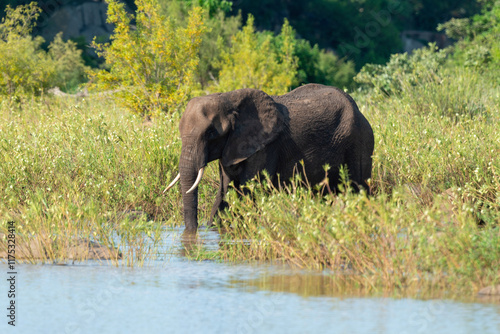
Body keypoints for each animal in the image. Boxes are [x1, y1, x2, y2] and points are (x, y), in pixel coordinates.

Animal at [166, 83, 374, 232]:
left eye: (210, 133)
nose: (193, 230)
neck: (228, 99)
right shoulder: (232, 147)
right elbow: (224, 191)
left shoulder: (266, 146)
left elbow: (249, 191)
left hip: (359, 141)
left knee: (357, 189)